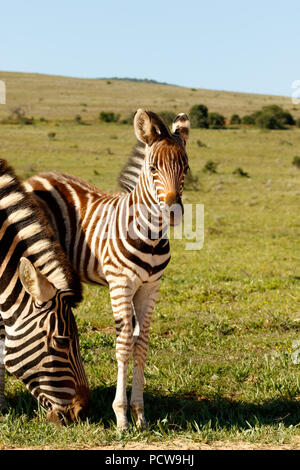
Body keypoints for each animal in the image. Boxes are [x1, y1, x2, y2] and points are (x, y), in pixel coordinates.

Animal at [25, 109, 190, 430]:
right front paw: (122, 416)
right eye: (153, 168)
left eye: (186, 168)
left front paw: (140, 414)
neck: (150, 235)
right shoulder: (120, 284)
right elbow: (124, 344)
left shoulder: (150, 287)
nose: (173, 212)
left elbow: (141, 344)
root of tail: (37, 177)